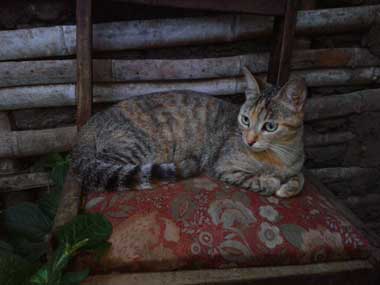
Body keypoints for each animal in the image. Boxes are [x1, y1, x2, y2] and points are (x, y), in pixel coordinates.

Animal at [71, 67, 308, 196]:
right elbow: (255, 179)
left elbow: (300, 177)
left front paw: (289, 186)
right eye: (245, 120)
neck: (278, 157)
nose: (249, 141)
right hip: (132, 147)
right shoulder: (225, 167)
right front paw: (271, 182)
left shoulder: (295, 165)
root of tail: (92, 121)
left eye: (270, 126)